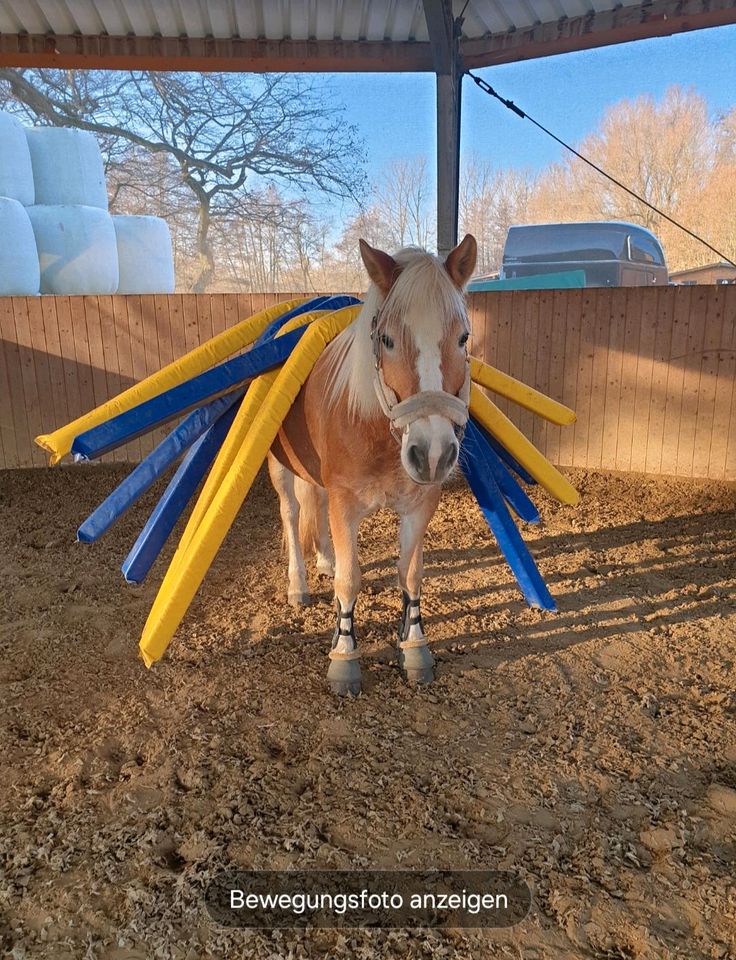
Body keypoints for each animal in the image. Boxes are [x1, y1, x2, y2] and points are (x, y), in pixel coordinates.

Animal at [268, 235, 480, 692]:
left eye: (463, 338)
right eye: (386, 339)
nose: (432, 453)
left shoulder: (420, 505)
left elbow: (411, 574)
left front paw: (415, 647)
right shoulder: (345, 504)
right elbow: (350, 579)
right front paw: (344, 656)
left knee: (314, 506)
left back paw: (324, 560)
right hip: (279, 466)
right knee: (291, 515)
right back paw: (298, 584)